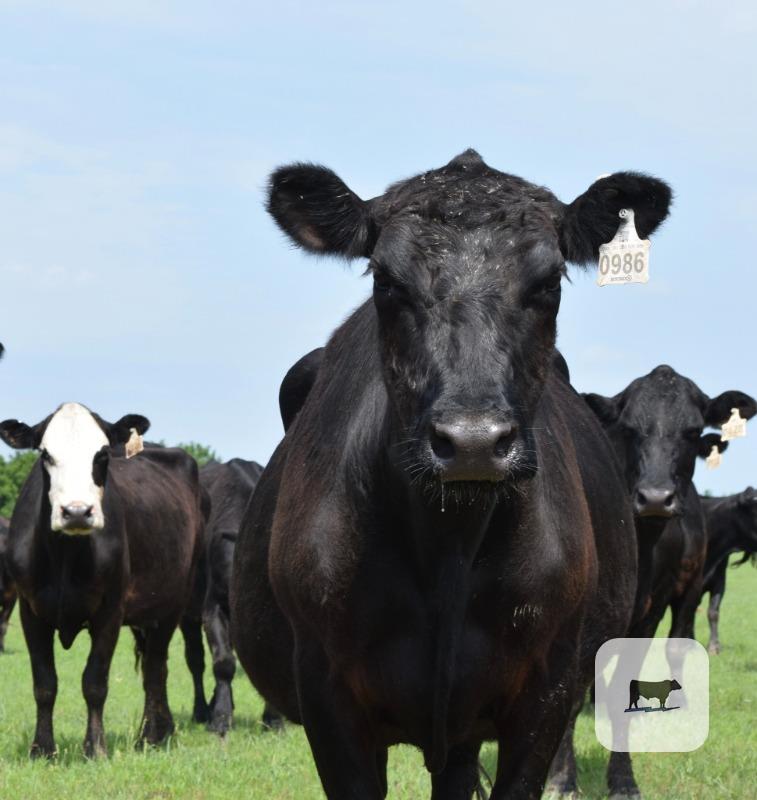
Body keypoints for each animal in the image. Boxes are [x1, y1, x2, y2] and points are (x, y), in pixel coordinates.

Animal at [0, 403, 206, 758]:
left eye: (103, 454)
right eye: (45, 454)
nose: (76, 512)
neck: (65, 557)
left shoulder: (110, 611)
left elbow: (94, 682)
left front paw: (95, 747)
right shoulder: (30, 610)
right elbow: (44, 683)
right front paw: (42, 748)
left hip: (174, 602)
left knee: (156, 669)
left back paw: (151, 736)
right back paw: (161, 730)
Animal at [230, 149, 672, 799]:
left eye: (548, 283)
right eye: (386, 281)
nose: (472, 442)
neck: (448, 547)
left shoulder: (548, 691)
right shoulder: (326, 694)